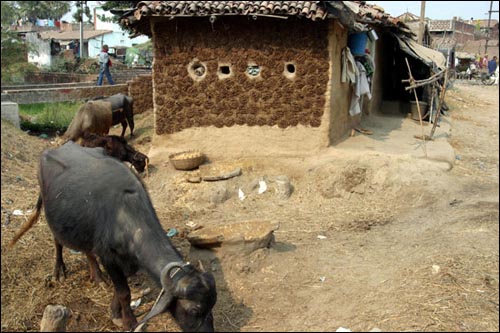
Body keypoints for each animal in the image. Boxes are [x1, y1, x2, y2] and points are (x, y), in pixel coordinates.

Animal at [10, 141, 217, 330]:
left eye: (212, 307)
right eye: (194, 310)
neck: (125, 213)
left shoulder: (128, 262)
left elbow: (120, 290)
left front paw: (115, 312)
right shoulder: (108, 256)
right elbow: (124, 292)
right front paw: (128, 321)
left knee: (87, 250)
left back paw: (97, 276)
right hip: (52, 215)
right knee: (57, 242)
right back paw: (59, 271)